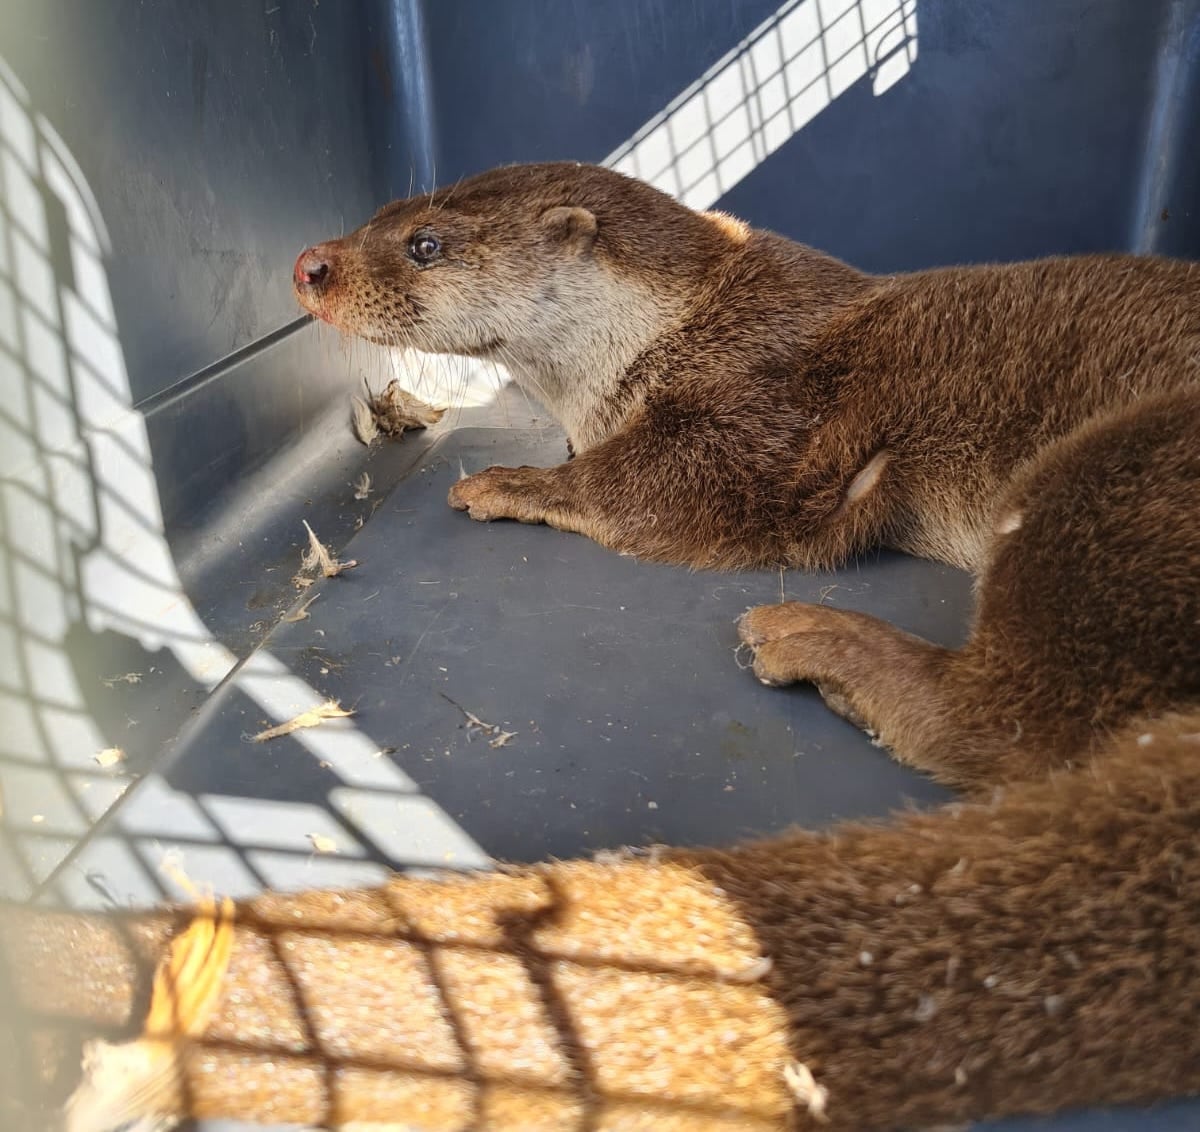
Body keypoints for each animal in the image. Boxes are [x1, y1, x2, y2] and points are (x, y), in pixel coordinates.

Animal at [292, 162, 1200, 787]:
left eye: (426, 245)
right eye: (377, 215)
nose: (309, 263)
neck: (685, 323)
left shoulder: (765, 412)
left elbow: (653, 485)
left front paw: (508, 481)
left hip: (1115, 474)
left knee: (1012, 726)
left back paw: (810, 638)